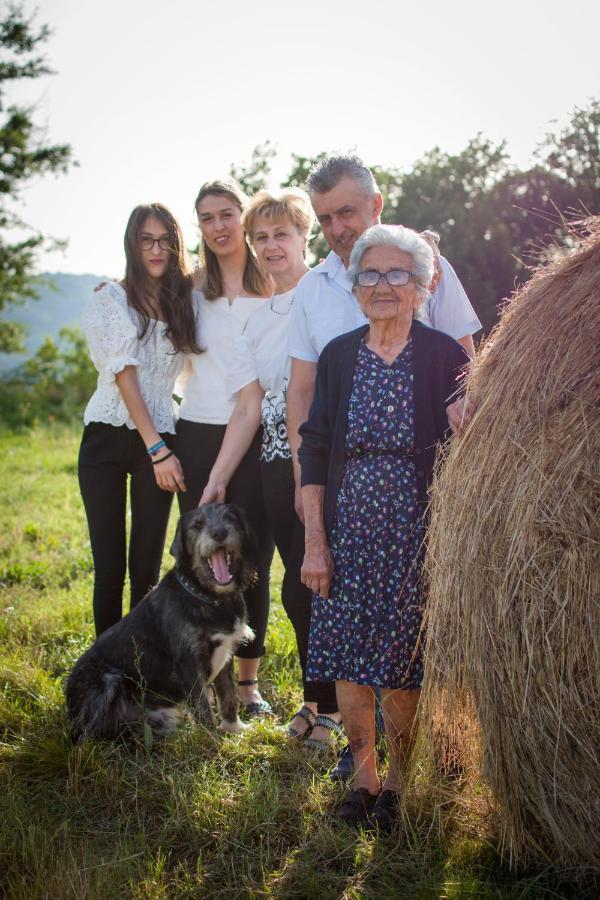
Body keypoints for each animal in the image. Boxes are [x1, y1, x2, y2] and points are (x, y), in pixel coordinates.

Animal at [67, 502, 256, 740]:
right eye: (197, 525)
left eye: (230, 517)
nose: (219, 533)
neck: (209, 597)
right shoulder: (189, 663)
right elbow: (203, 706)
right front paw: (210, 741)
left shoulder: (226, 654)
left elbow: (229, 695)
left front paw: (234, 729)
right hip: (107, 679)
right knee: (84, 734)